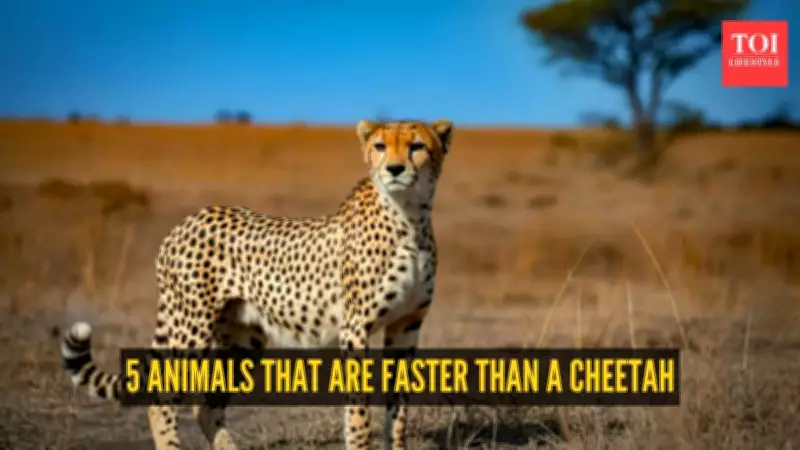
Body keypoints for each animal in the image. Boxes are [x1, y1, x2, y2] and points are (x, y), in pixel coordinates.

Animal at [60, 118, 454, 450]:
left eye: (417, 146)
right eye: (380, 146)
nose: (395, 169)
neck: (409, 218)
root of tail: (184, 222)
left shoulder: (406, 325)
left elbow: (398, 408)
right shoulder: (355, 328)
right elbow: (359, 412)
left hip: (241, 339)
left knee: (206, 406)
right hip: (190, 328)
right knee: (162, 402)